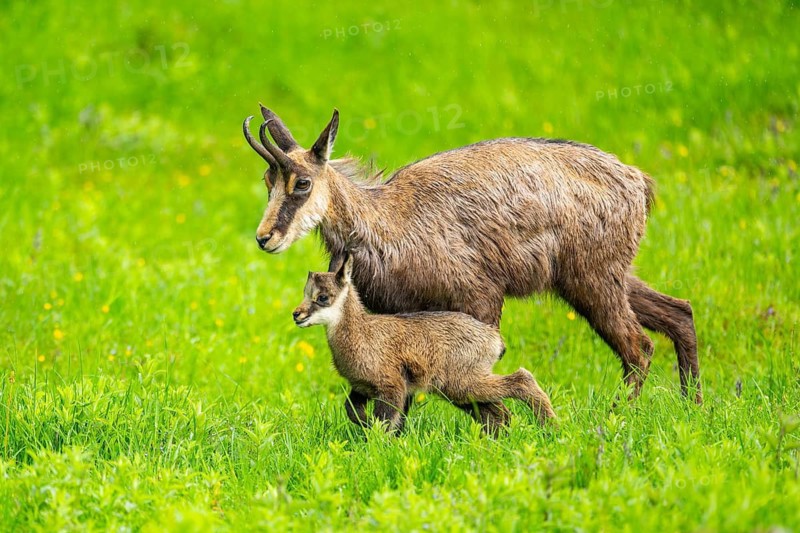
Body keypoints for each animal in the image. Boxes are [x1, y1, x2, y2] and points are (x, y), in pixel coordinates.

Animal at [292, 253, 556, 433]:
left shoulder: (392, 386)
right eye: (305, 293)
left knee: (521, 381)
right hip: (463, 390)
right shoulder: (362, 388)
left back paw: (550, 426)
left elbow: (386, 421)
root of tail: (494, 340)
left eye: (322, 297)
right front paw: (367, 429)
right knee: (498, 412)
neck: (362, 333)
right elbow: (352, 410)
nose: (296, 314)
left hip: (462, 383)